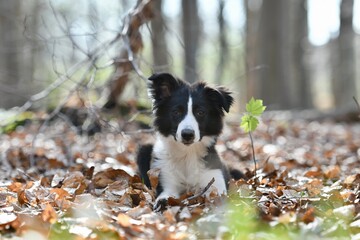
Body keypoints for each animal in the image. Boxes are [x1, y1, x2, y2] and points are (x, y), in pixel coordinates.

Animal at [138, 73, 239, 210]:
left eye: (200, 112)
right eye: (176, 112)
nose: (187, 134)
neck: (187, 153)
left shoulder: (213, 176)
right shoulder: (165, 177)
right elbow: (167, 194)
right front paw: (163, 202)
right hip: (144, 149)